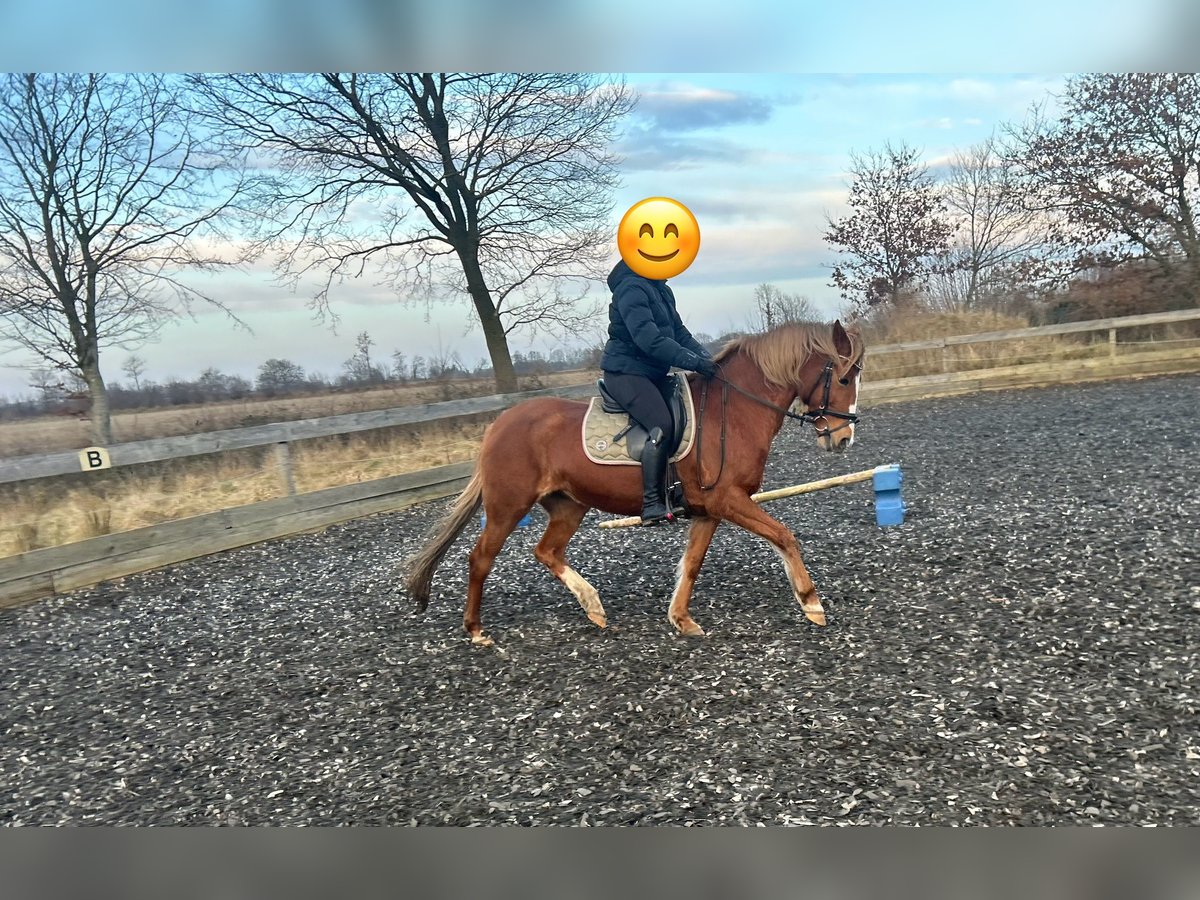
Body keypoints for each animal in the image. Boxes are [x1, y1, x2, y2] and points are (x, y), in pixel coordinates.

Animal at [403, 321, 864, 643]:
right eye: (843, 378)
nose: (842, 438)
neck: (732, 413)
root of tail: (498, 425)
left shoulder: (711, 509)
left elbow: (692, 563)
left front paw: (682, 619)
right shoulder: (729, 500)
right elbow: (784, 535)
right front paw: (812, 603)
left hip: (568, 504)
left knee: (546, 551)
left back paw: (593, 606)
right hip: (507, 507)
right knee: (480, 559)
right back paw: (477, 631)